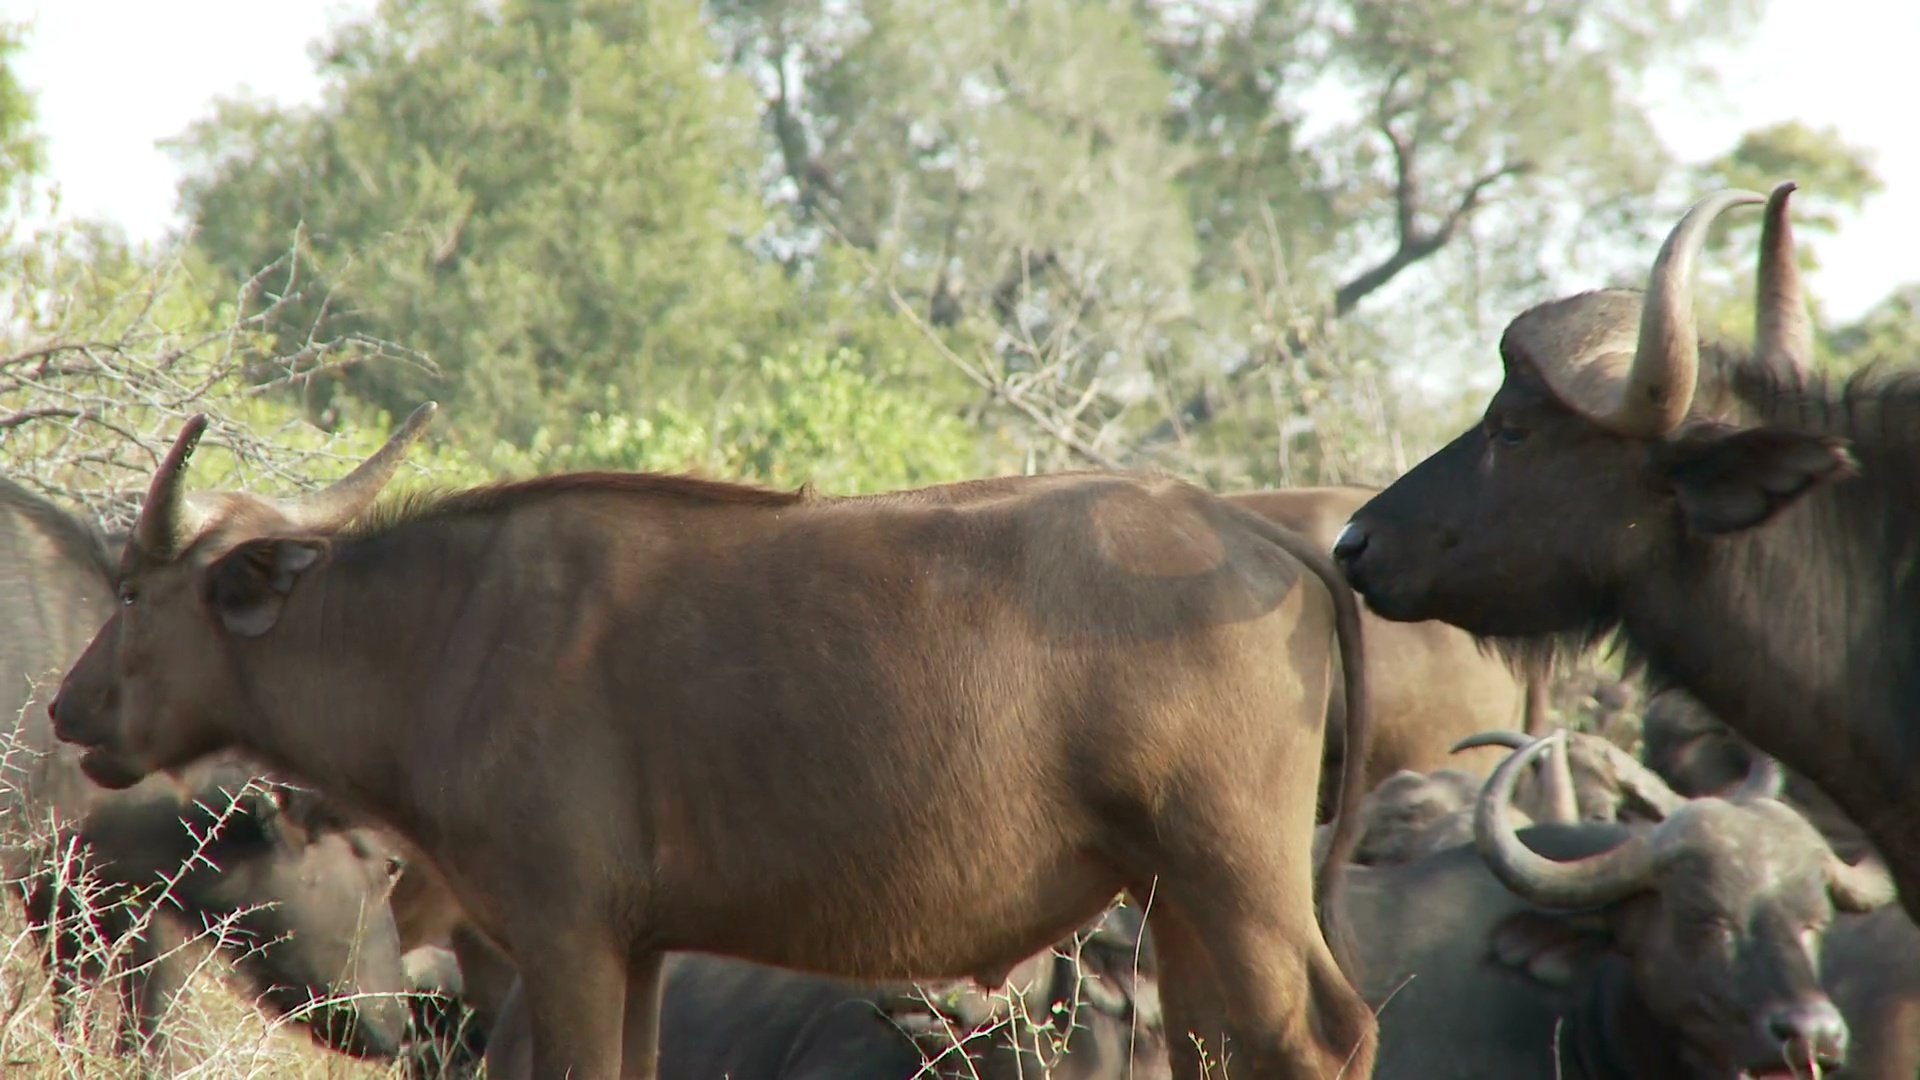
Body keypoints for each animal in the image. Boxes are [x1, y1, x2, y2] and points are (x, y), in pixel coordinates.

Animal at [52, 409, 1390, 1076]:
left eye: (130, 589)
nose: (69, 711)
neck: (452, 631)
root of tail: (1258, 536)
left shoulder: (563, 941)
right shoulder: (637, 952)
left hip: (1236, 872)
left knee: (1323, 1037)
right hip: (1177, 896)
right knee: (1225, 1045)